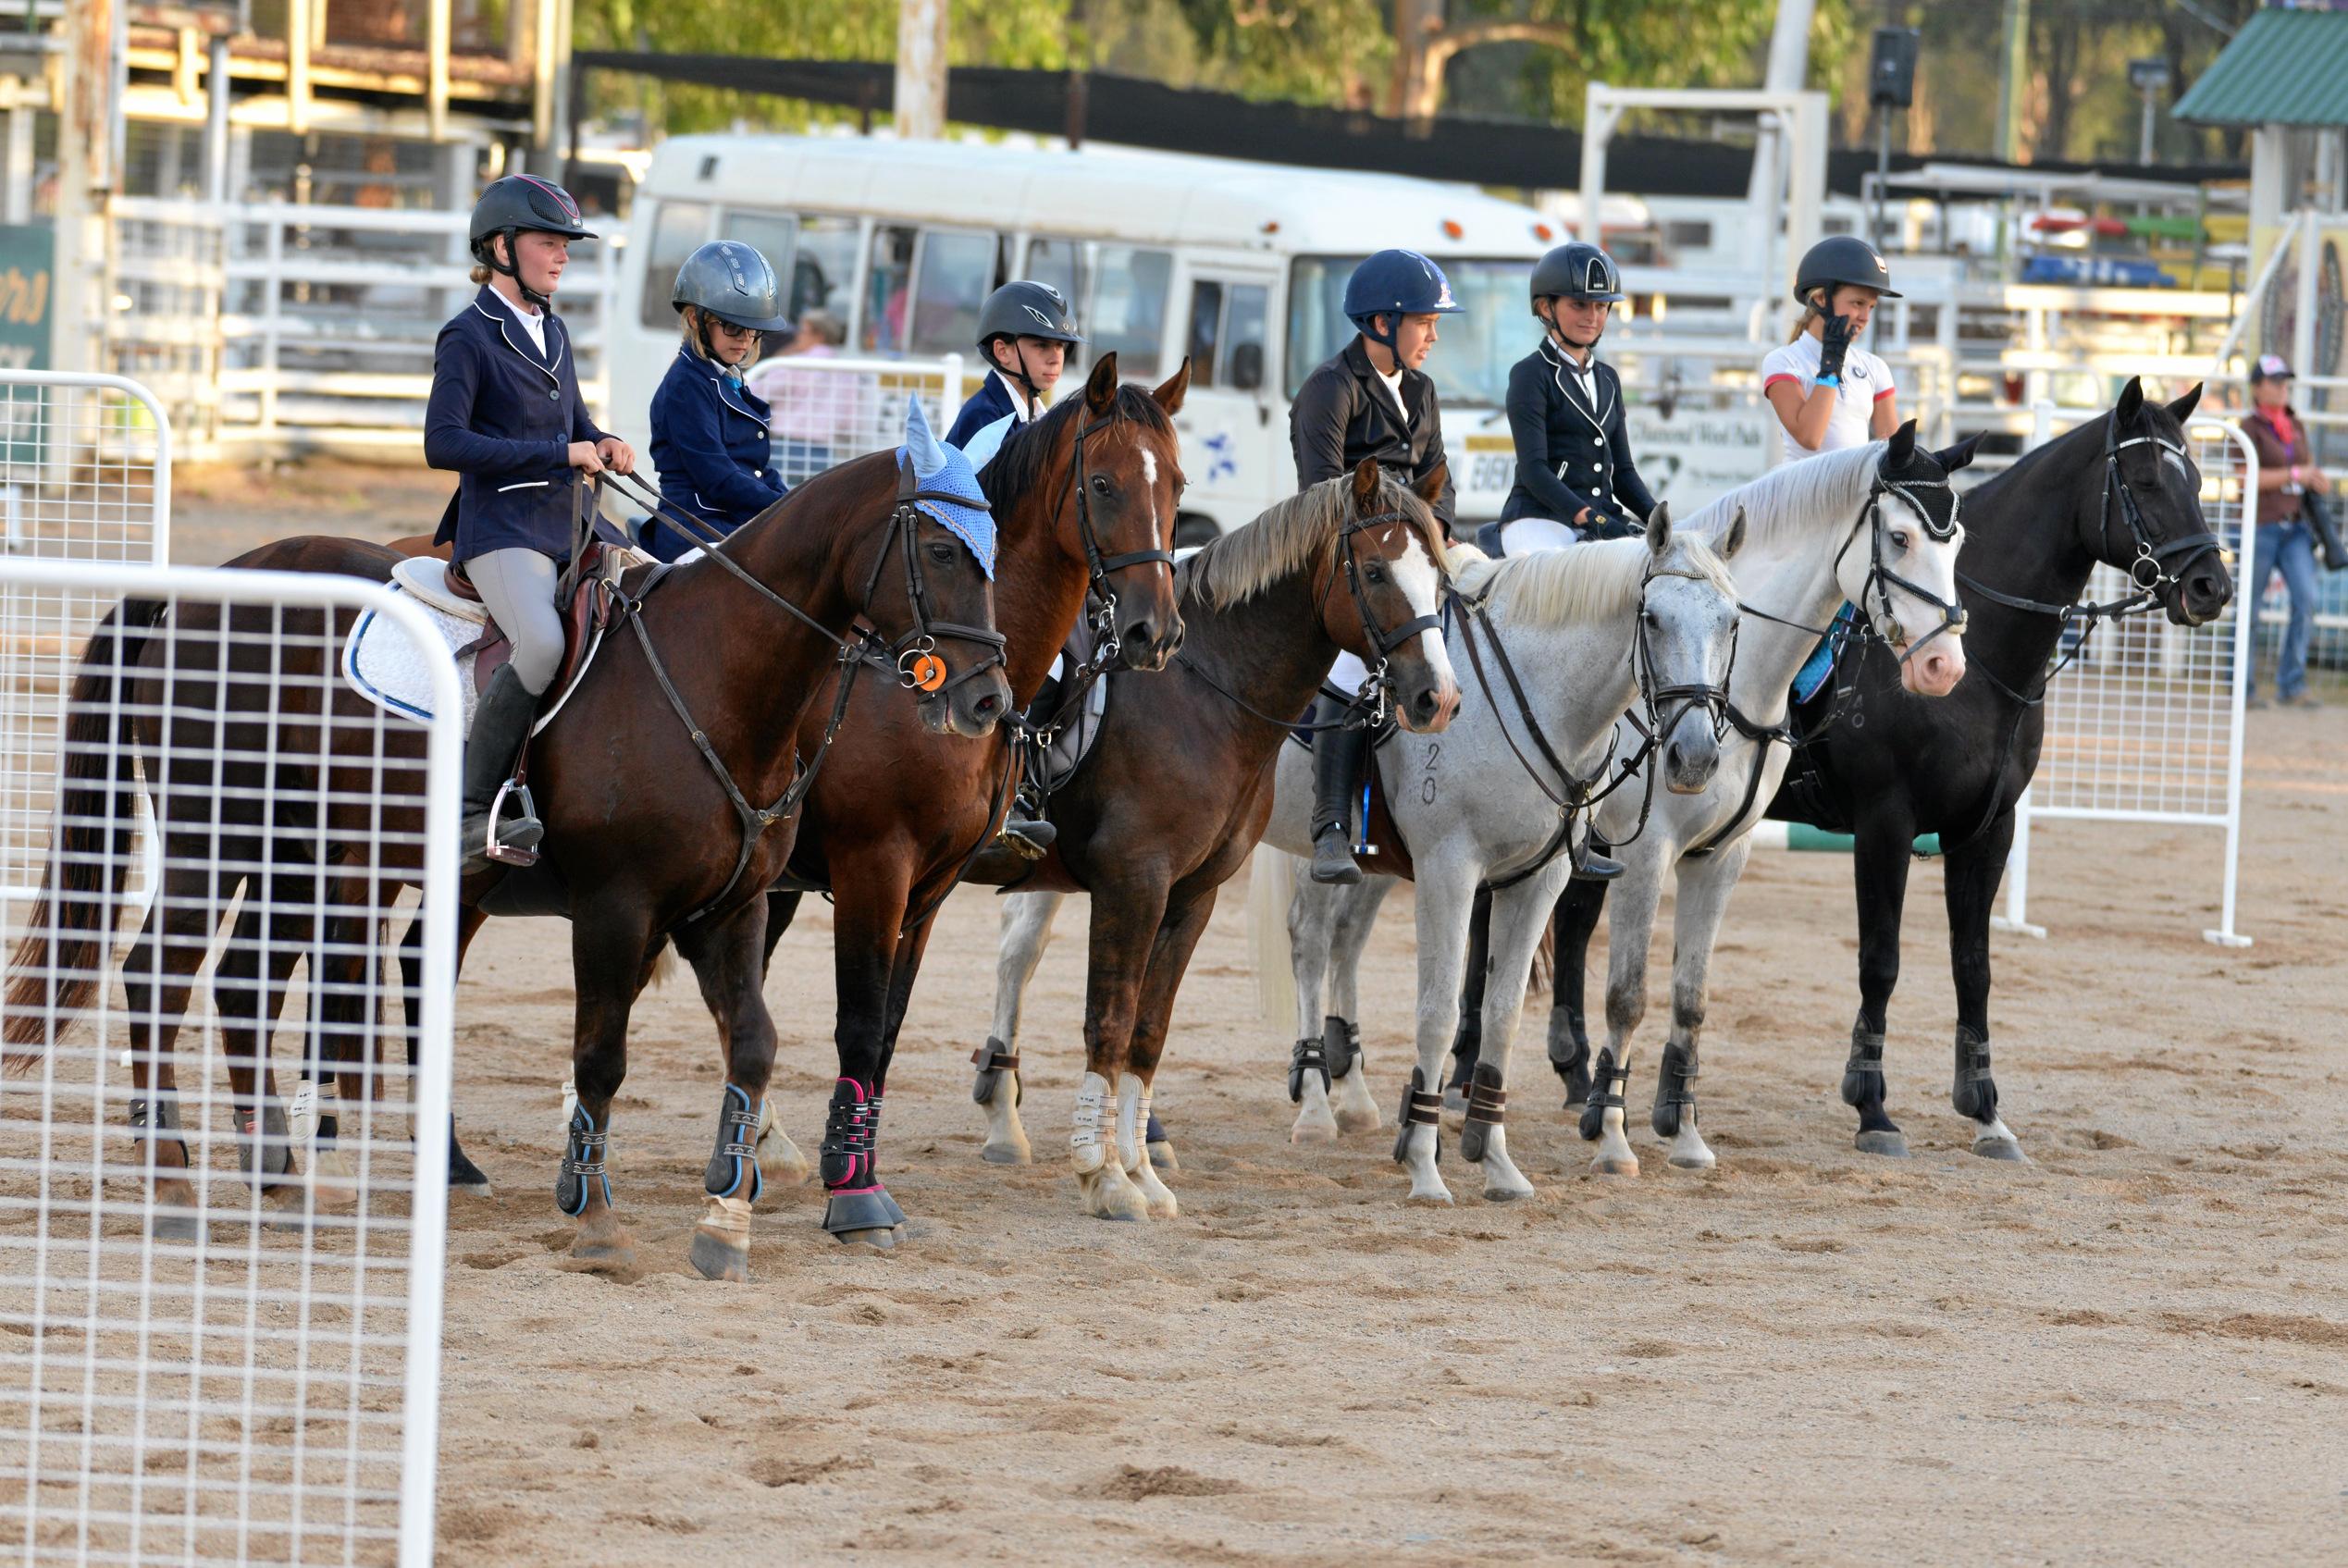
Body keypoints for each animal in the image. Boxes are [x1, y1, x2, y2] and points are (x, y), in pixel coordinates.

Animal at [2, 431, 1009, 1286]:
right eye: (944, 550)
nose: (989, 698)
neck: (716, 673)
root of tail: (208, 585)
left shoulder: (731, 909)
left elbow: (755, 1046)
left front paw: (725, 1221)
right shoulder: (616, 908)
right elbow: (601, 1058)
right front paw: (595, 1219)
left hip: (303, 854)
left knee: (243, 982)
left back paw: (282, 1178)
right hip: (219, 836)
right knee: (157, 975)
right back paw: (175, 1187)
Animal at [751, 359, 1193, 1248]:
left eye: (1177, 485)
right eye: (1103, 483)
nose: (1154, 633)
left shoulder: (929, 887)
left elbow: (885, 1030)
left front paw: (856, 1170)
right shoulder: (874, 868)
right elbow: (859, 1021)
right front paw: (854, 1196)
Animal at [962, 460, 1455, 1220]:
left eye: (1439, 579)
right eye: (1374, 571)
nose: (1438, 696)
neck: (1202, 695)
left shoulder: (1191, 895)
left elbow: (1148, 1030)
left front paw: (1140, 1171)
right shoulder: (1133, 883)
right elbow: (1109, 1022)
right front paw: (1103, 1176)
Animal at [1249, 502, 1747, 1202]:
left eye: (1733, 621)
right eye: (1652, 618)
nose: (1695, 757)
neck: (1532, 693)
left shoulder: (1541, 877)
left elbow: (1502, 1014)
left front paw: (1494, 1158)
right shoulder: (1450, 870)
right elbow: (1436, 1011)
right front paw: (1424, 1161)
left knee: (1343, 941)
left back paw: (1355, 1099)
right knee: (1311, 943)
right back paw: (1317, 1106)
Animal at [1550, 380, 2226, 1164]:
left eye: (2198, 481)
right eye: (2145, 481)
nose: (2211, 586)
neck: (1985, 671)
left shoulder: (1987, 830)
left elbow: (1974, 967)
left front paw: (1986, 1111)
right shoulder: (1884, 824)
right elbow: (1882, 959)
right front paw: (1872, 1106)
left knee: (1572, 917)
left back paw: (1573, 1073)